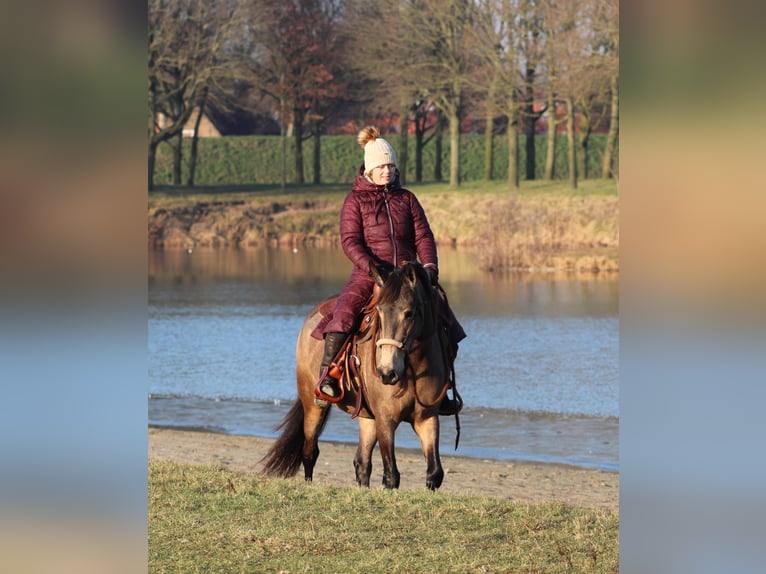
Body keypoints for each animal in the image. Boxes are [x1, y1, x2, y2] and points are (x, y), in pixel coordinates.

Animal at [260, 260, 460, 490]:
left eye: (409, 313)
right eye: (379, 313)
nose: (387, 373)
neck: (412, 368)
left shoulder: (426, 418)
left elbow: (434, 473)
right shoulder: (385, 419)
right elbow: (391, 476)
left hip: (366, 418)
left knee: (362, 463)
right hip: (313, 407)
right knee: (310, 453)